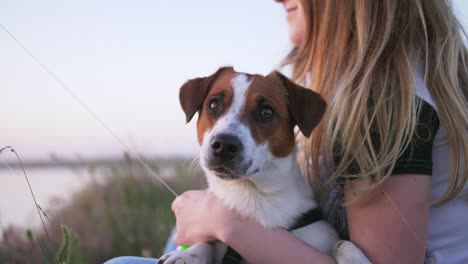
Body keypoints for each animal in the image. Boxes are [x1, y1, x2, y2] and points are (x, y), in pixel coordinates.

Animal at [159, 67, 372, 264]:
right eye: (214, 104)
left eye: (266, 112)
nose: (224, 144)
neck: (254, 196)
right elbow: (206, 242)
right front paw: (188, 254)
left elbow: (341, 243)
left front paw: (354, 258)